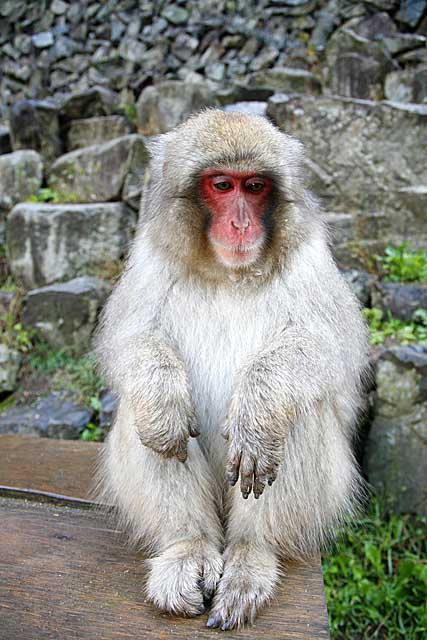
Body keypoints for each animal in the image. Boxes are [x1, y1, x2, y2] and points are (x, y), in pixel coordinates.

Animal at [95, 110, 370, 632]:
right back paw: (188, 547)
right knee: (146, 419)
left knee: (299, 411)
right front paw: (162, 402)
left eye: (256, 186)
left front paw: (257, 413)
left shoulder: (309, 256)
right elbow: (131, 340)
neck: (229, 272)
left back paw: (249, 556)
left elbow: (325, 347)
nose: (241, 223)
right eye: (222, 185)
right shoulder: (151, 254)